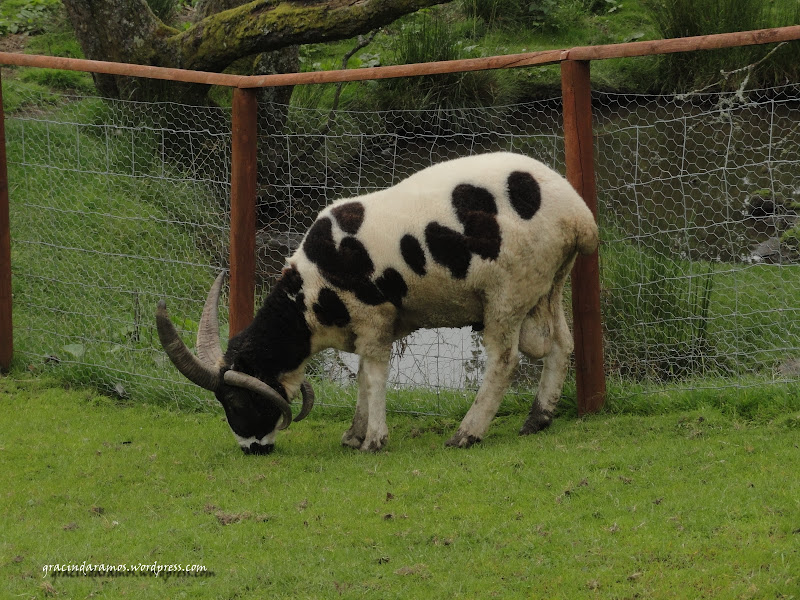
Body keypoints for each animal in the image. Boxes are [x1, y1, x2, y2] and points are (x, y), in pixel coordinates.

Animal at [156, 151, 596, 454]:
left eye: (234, 398)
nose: (252, 449)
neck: (309, 297)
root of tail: (579, 216)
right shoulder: (366, 327)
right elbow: (363, 376)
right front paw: (355, 433)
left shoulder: (373, 318)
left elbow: (374, 375)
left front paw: (373, 440)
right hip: (547, 282)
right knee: (560, 344)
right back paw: (538, 418)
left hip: (507, 292)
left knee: (505, 360)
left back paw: (467, 433)